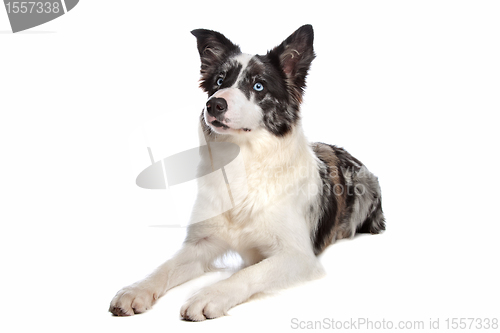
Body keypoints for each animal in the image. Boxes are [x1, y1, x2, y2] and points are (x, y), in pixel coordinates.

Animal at [109, 24, 384, 320]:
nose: (214, 105)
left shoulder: (298, 256)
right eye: (219, 81)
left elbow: (250, 273)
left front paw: (210, 295)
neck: (244, 161)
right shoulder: (201, 243)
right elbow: (165, 267)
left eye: (258, 86)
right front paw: (136, 290)